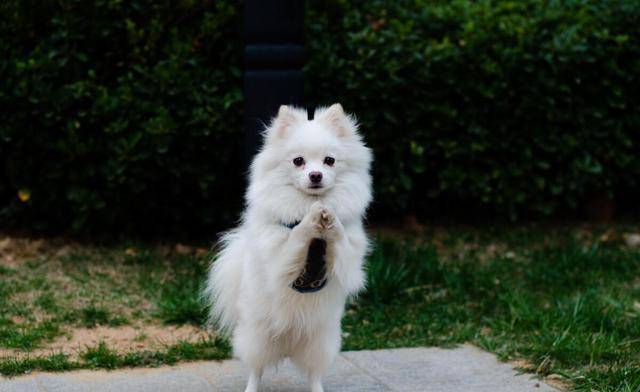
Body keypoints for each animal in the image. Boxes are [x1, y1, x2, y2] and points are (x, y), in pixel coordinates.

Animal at [208, 104, 372, 392]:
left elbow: (339, 236)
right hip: (256, 338)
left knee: (314, 373)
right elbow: (296, 235)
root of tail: (287, 344)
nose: (315, 175)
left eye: (329, 161)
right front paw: (311, 219)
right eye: (298, 161)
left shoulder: (348, 260)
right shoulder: (279, 257)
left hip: (322, 342)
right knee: (256, 369)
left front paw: (329, 216)